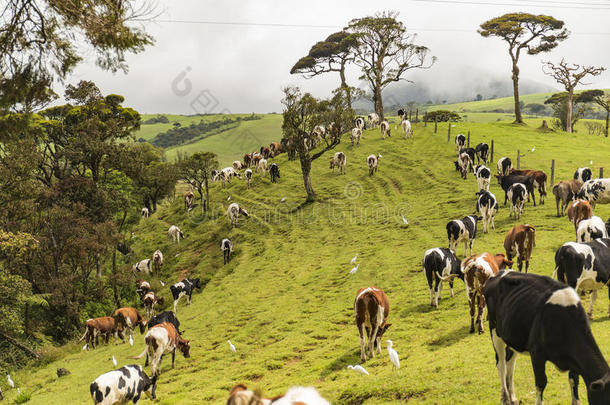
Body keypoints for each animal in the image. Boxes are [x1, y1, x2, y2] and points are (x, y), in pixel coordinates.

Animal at [484, 270, 610, 405]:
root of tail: (499, 273)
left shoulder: (574, 359)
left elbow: (574, 381)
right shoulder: (536, 353)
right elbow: (541, 383)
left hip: (514, 337)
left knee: (510, 365)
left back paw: (513, 397)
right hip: (495, 331)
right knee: (501, 365)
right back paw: (505, 398)